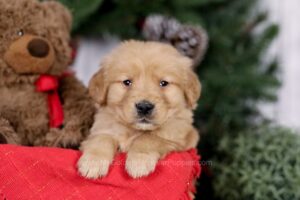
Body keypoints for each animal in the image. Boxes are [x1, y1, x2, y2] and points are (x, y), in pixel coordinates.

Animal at [77, 40, 202, 178]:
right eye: (127, 82)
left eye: (163, 83)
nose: (144, 107)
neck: (134, 131)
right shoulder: (103, 128)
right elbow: (102, 138)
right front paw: (93, 161)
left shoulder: (178, 138)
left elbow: (149, 138)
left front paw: (139, 161)